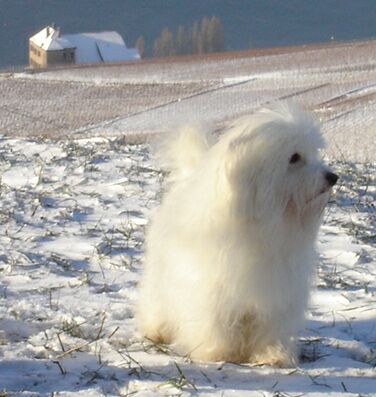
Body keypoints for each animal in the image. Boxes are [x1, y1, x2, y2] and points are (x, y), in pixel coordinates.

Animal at [137, 102, 338, 366]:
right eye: (294, 158)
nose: (333, 177)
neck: (262, 227)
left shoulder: (277, 291)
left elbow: (269, 326)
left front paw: (272, 355)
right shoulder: (211, 288)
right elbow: (214, 323)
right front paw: (216, 353)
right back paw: (156, 329)